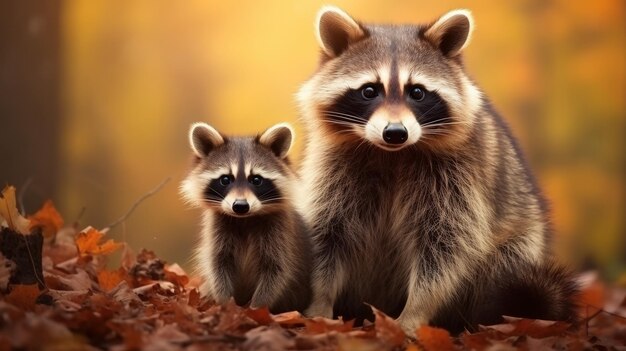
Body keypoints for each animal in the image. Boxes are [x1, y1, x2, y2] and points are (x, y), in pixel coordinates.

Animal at [179, 123, 310, 314]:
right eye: (225, 179)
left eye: (256, 179)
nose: (240, 206)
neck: (245, 218)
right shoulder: (218, 230)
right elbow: (218, 266)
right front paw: (224, 303)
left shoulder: (280, 234)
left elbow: (276, 272)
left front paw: (256, 309)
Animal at [296, 6, 576, 336]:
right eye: (369, 91)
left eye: (417, 92)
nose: (395, 133)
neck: (392, 154)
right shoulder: (333, 166)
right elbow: (327, 233)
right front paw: (320, 302)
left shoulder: (459, 176)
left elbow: (445, 247)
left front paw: (414, 313)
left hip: (522, 240)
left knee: (507, 264)